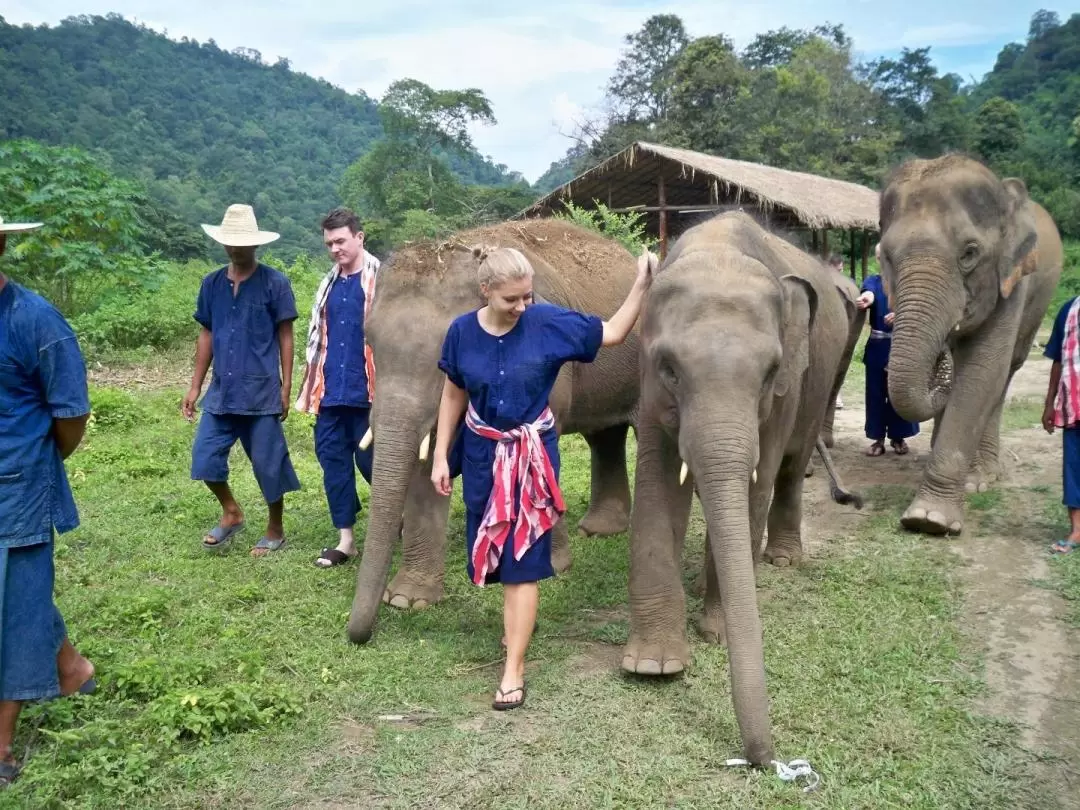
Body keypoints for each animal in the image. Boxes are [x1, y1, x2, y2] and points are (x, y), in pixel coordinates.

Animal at [347, 217, 639, 648]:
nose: (359, 636)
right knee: (606, 435)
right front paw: (408, 600)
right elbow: (426, 465)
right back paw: (600, 530)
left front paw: (553, 567)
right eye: (369, 340)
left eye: (441, 355)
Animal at [626, 210, 859, 768]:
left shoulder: (784, 392)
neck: (717, 248)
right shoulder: (648, 384)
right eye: (669, 368)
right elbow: (656, 480)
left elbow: (758, 480)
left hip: (820, 381)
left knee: (791, 468)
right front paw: (653, 666)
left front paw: (717, 633)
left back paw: (783, 559)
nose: (765, 760)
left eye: (770, 370)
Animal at [881, 156, 1067, 540]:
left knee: (1005, 374)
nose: (941, 354)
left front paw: (929, 520)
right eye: (886, 256)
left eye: (969, 254)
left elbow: (982, 371)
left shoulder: (1013, 281)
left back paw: (981, 477)